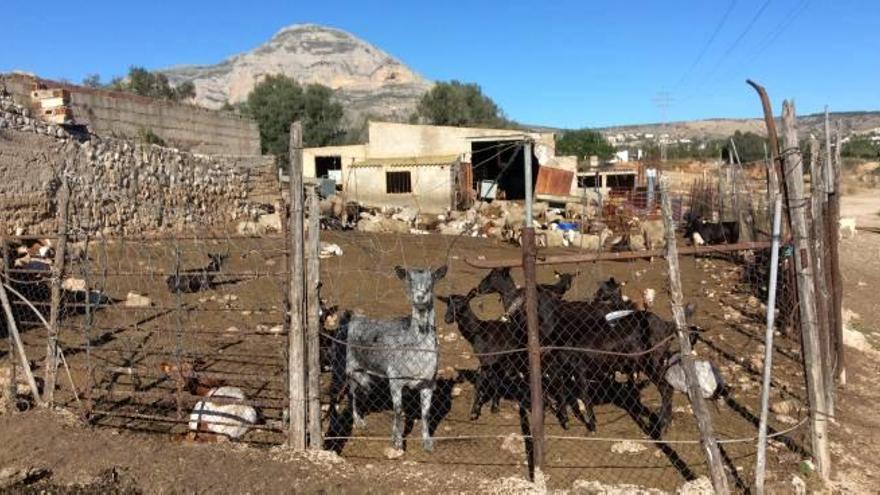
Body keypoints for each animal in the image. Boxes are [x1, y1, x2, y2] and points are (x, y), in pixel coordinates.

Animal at [336, 266, 450, 452]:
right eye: (409, 279)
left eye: (432, 279)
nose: (420, 297)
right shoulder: (395, 378)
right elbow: (398, 410)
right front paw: (397, 442)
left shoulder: (428, 381)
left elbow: (426, 414)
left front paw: (428, 443)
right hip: (346, 365)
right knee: (350, 393)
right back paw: (358, 421)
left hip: (364, 372)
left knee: (360, 390)